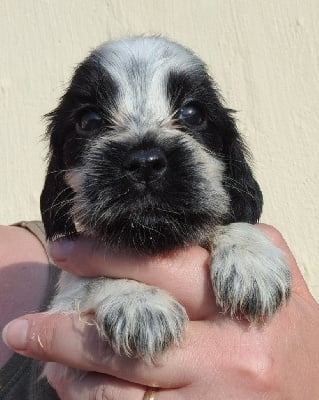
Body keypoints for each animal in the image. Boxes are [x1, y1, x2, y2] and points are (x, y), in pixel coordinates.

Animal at [40, 35, 292, 376]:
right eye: (89, 121)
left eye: (193, 113)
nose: (145, 162)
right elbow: (92, 280)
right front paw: (138, 302)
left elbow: (229, 222)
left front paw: (251, 260)